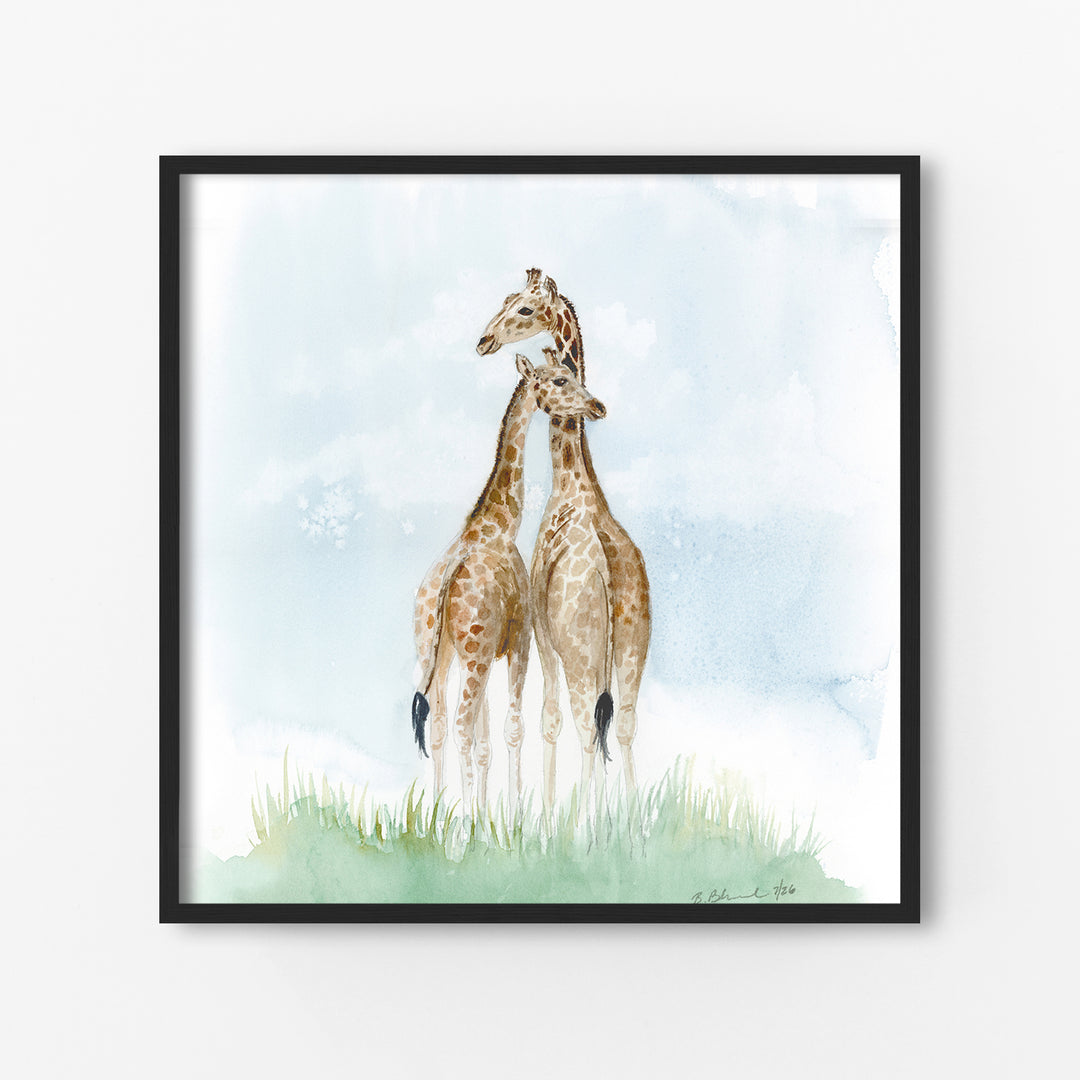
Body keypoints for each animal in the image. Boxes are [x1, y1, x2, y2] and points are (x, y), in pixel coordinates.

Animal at [412, 353, 607, 818]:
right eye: (560, 379)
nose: (597, 406)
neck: (500, 524)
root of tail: (443, 585)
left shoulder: (482, 651)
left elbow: (485, 744)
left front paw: (487, 819)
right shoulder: (516, 639)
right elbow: (511, 728)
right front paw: (512, 819)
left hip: (436, 655)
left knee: (440, 726)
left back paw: (438, 818)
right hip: (474, 655)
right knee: (460, 725)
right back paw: (461, 824)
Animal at [478, 271, 651, 821]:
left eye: (526, 309)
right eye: (508, 299)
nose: (484, 341)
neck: (574, 488)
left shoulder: (544, 633)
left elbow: (548, 721)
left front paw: (552, 818)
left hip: (582, 650)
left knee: (585, 726)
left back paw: (585, 824)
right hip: (632, 649)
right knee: (623, 725)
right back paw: (630, 822)